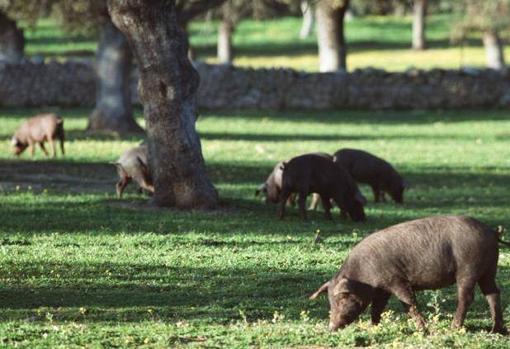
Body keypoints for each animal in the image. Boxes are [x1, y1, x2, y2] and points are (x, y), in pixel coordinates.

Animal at [308, 216, 508, 334]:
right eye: (330, 301)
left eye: (342, 298)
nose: (332, 327)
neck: (362, 275)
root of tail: (492, 231)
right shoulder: (382, 288)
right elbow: (377, 307)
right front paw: (374, 328)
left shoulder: (396, 280)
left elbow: (408, 303)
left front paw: (424, 331)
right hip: (489, 270)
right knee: (493, 293)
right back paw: (496, 330)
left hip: (468, 269)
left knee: (467, 296)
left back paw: (454, 328)